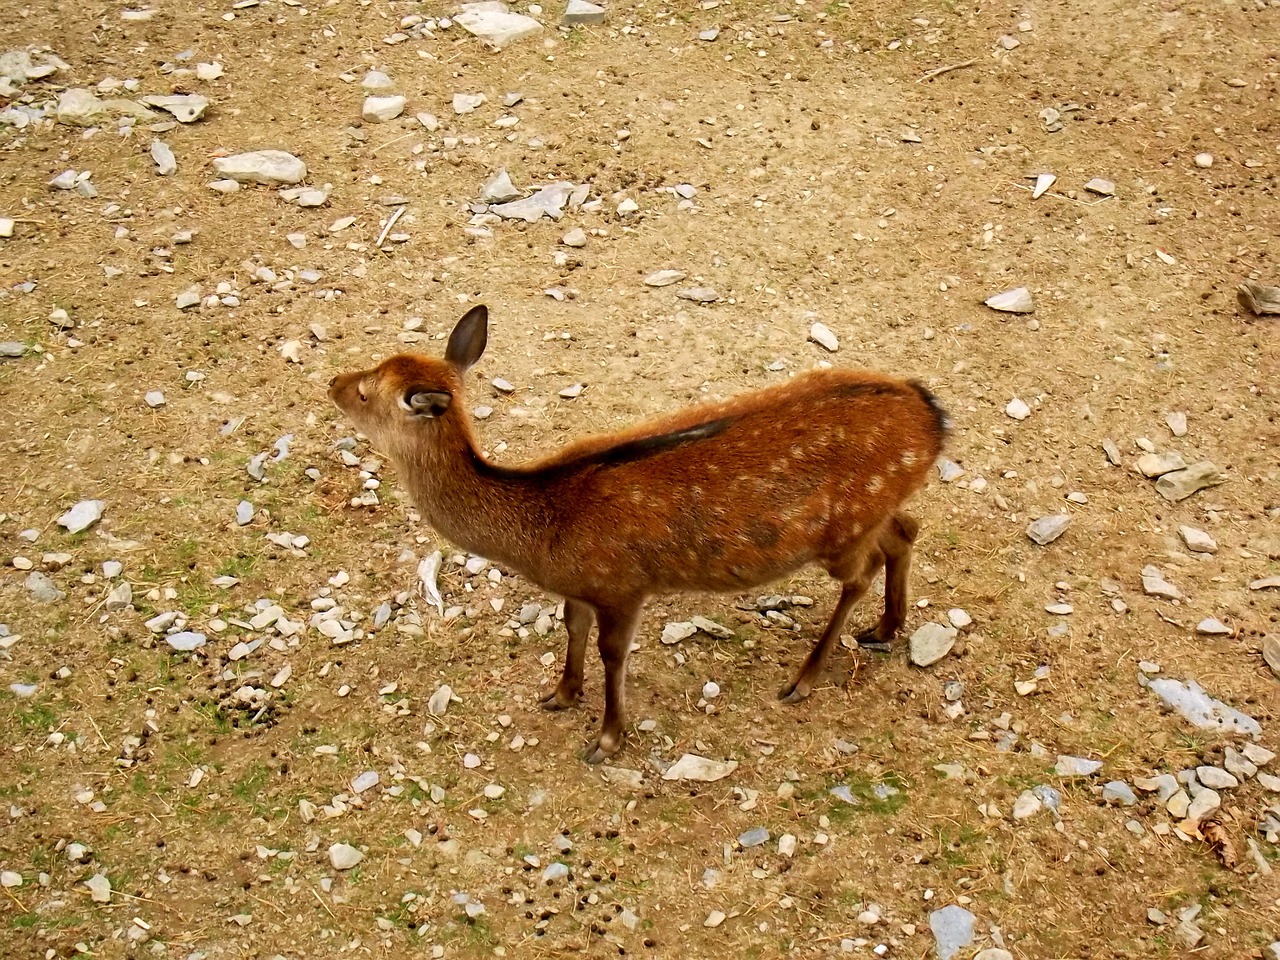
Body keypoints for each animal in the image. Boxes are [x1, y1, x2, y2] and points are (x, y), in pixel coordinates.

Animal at [327, 304, 952, 762]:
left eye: (366, 392)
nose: (333, 380)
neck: (542, 533)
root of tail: (934, 418)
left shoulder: (622, 585)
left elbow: (612, 653)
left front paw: (606, 739)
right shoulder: (582, 588)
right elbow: (570, 625)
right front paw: (560, 694)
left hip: (842, 531)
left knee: (861, 573)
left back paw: (805, 677)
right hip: (875, 509)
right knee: (906, 529)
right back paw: (886, 627)